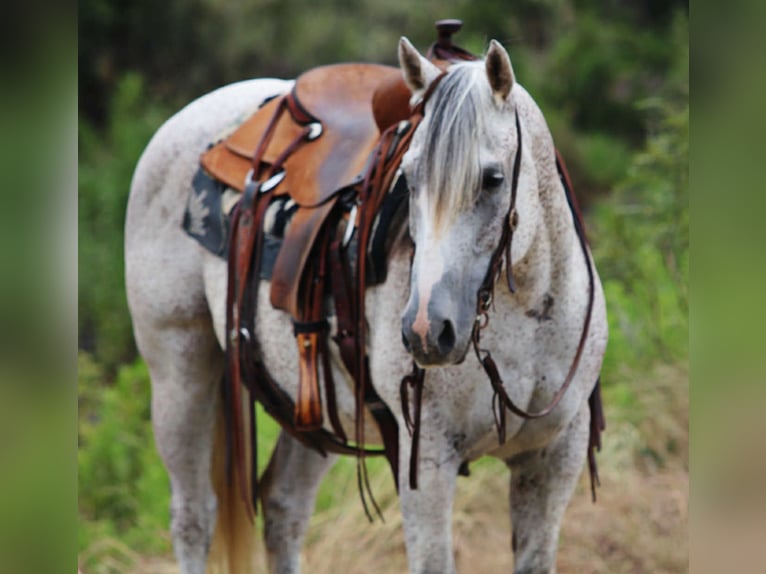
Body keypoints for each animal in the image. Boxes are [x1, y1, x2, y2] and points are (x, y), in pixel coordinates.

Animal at [125, 37, 608, 574]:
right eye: (409, 179)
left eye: (493, 179)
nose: (427, 330)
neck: (524, 319)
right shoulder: (427, 464)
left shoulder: (554, 460)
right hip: (180, 374)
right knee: (195, 516)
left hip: (316, 407)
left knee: (284, 506)